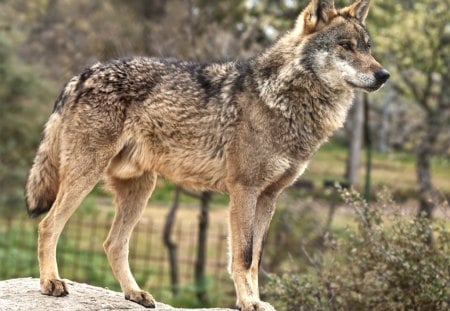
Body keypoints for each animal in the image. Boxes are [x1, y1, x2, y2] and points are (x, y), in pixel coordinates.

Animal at [26, 1, 388, 310]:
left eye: (368, 47)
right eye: (345, 46)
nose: (384, 75)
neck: (284, 100)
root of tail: (83, 74)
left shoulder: (269, 197)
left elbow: (256, 258)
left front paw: (254, 300)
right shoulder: (244, 191)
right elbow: (243, 256)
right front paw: (248, 302)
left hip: (141, 190)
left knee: (112, 244)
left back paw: (134, 293)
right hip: (86, 177)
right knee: (47, 225)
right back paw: (51, 282)